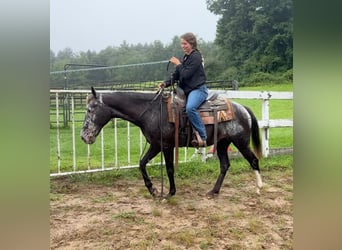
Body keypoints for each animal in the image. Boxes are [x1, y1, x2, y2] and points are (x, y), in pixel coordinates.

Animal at [81, 87, 264, 198]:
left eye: (90, 110)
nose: (84, 136)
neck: (153, 111)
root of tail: (242, 108)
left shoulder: (166, 146)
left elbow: (169, 169)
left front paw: (170, 193)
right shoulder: (156, 145)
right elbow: (142, 163)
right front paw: (153, 189)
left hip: (241, 142)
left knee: (253, 160)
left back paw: (259, 187)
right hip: (222, 144)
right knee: (225, 165)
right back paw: (213, 191)